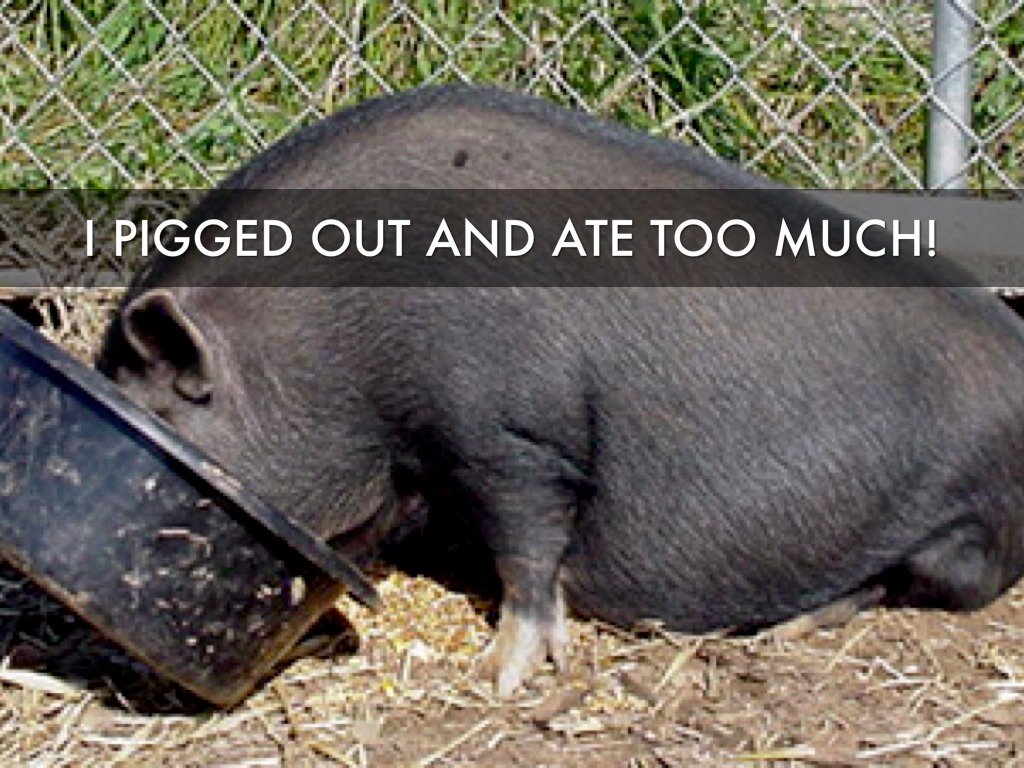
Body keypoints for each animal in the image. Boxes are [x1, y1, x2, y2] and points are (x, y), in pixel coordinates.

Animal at [96, 84, 1024, 696]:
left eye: (159, 408)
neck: (329, 347)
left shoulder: (509, 431)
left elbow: (529, 543)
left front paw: (499, 678)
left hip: (968, 532)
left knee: (919, 582)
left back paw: (791, 627)